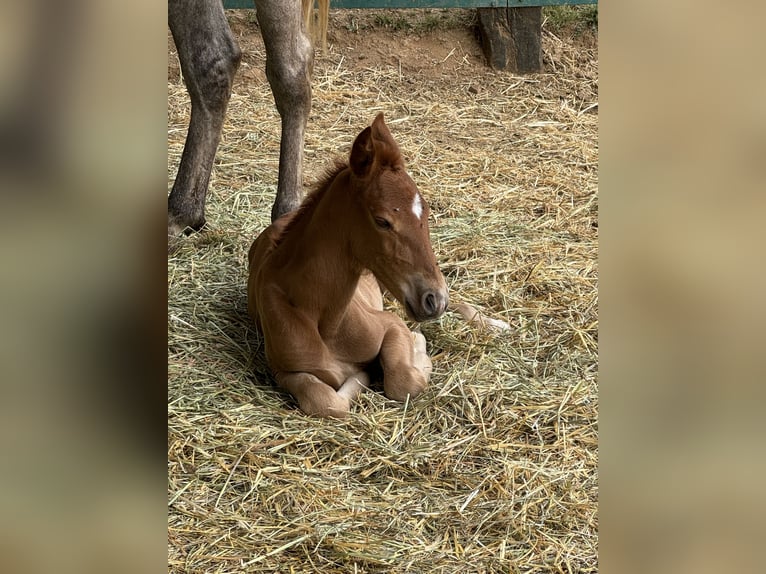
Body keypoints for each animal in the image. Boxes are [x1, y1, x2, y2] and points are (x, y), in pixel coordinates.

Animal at [247, 114, 450, 418]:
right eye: (382, 221)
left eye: (424, 214)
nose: (434, 299)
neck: (325, 319)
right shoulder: (284, 371)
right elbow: (327, 402)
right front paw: (363, 374)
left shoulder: (391, 324)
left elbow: (404, 382)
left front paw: (417, 349)